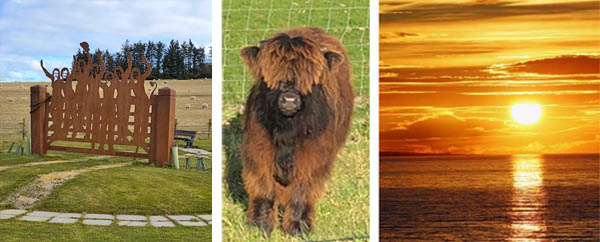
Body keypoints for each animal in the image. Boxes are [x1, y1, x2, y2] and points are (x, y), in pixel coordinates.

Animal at [239, 27, 352, 235]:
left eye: (309, 78)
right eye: (271, 75)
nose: (290, 100)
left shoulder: (314, 160)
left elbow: (302, 191)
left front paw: (298, 227)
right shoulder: (258, 151)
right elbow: (264, 189)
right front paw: (260, 225)